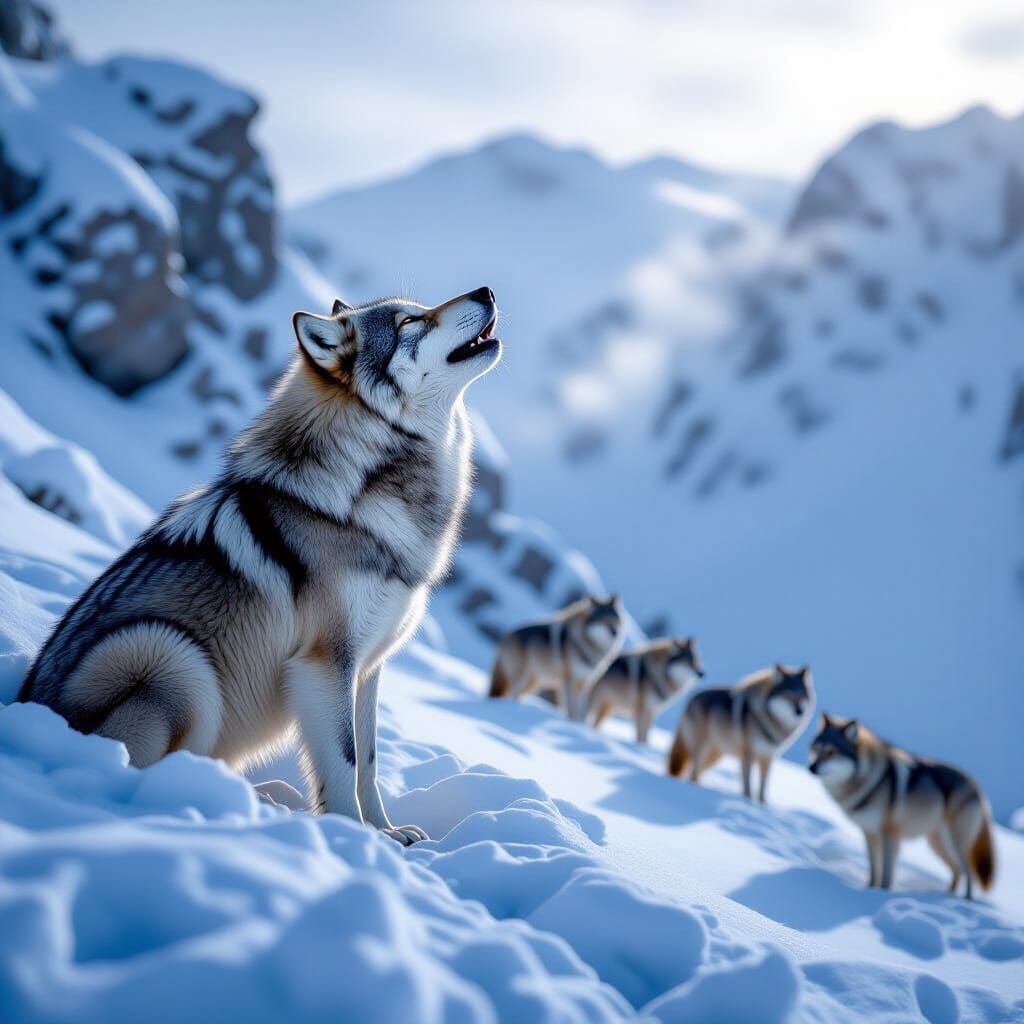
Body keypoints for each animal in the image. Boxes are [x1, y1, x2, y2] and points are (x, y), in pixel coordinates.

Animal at [18, 287, 502, 845]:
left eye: (419, 309)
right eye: (408, 322)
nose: (486, 291)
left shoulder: (367, 667)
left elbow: (370, 760)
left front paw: (387, 833)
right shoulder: (325, 663)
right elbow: (344, 761)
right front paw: (353, 839)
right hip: (167, 653)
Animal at [488, 596, 625, 720]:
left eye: (615, 620)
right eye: (604, 620)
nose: (615, 632)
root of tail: (506, 635)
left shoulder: (585, 682)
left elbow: (580, 710)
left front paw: (578, 724)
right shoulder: (568, 680)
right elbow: (571, 708)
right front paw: (571, 723)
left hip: (532, 683)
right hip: (522, 679)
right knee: (510, 694)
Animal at [667, 663, 813, 803]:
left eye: (801, 695)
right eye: (788, 694)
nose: (799, 711)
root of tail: (691, 698)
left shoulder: (768, 757)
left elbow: (762, 788)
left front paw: (762, 804)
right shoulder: (748, 754)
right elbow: (747, 786)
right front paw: (747, 800)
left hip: (715, 756)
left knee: (692, 772)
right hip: (702, 749)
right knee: (693, 771)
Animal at [810, 713, 995, 898]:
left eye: (831, 752)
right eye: (816, 749)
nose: (811, 767)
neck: (871, 782)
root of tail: (977, 788)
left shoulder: (890, 835)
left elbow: (886, 873)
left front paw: (881, 894)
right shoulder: (869, 833)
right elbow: (874, 870)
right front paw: (870, 889)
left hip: (956, 844)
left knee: (969, 873)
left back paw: (964, 900)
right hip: (937, 844)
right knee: (958, 870)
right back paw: (944, 896)